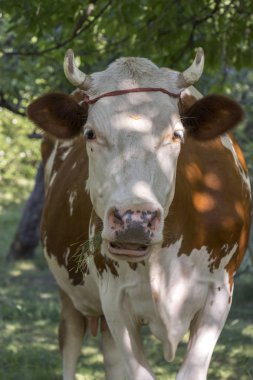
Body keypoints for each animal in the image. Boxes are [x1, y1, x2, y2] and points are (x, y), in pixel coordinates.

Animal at [27, 48, 251, 380]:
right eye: (90, 133)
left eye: (177, 134)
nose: (135, 220)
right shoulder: (114, 300)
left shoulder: (220, 292)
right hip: (68, 290)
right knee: (70, 341)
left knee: (111, 358)